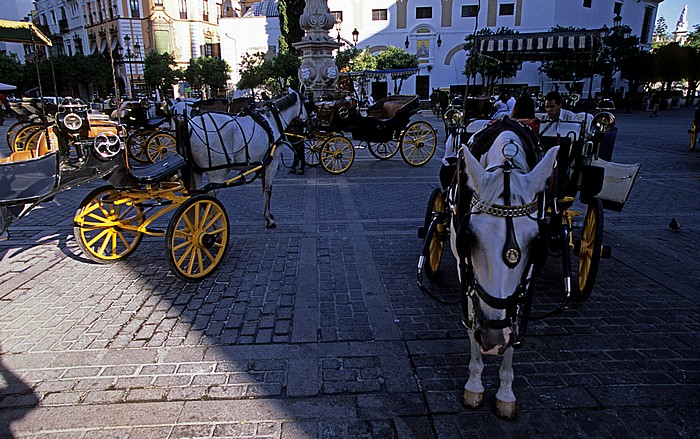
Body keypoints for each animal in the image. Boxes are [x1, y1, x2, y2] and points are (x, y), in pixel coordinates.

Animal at [182, 88, 308, 227]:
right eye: (306, 102)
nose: (309, 119)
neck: (272, 121)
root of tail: (190, 127)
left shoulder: (263, 164)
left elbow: (264, 189)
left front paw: (267, 214)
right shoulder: (272, 163)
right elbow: (268, 190)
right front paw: (269, 219)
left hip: (196, 172)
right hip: (217, 174)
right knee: (208, 201)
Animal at [448, 119, 556, 420]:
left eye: (537, 241)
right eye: (469, 237)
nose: (494, 338)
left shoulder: (526, 279)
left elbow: (515, 319)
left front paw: (505, 392)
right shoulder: (465, 271)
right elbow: (472, 321)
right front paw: (474, 385)